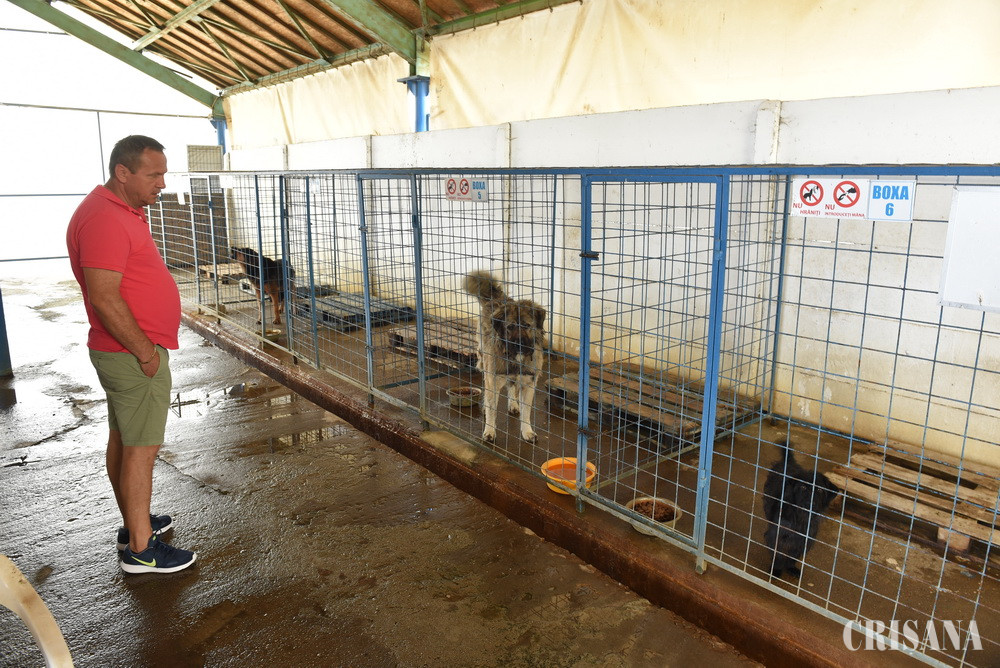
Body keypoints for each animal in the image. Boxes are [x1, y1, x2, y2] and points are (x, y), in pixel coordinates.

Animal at [464, 271, 546, 444]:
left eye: (527, 325)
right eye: (510, 327)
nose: (519, 344)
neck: (516, 358)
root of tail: (496, 298)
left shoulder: (529, 383)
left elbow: (526, 412)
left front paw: (527, 431)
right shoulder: (493, 379)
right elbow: (492, 409)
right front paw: (489, 430)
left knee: (512, 386)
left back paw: (513, 404)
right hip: (484, 361)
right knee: (488, 387)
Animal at [762, 441, 839, 578]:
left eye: (820, 490)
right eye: (803, 487)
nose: (810, 503)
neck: (800, 517)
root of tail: (789, 462)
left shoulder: (804, 540)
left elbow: (794, 555)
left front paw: (791, 567)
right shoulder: (777, 535)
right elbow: (778, 554)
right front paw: (776, 570)